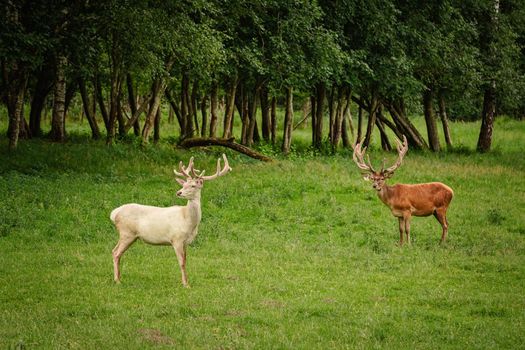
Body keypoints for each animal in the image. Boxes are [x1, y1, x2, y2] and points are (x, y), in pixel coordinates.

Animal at [109, 154, 230, 286]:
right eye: (183, 185)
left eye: (193, 185)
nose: (179, 192)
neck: (187, 221)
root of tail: (114, 213)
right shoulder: (176, 238)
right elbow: (181, 262)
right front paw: (185, 284)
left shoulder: (186, 242)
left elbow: (185, 260)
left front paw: (187, 281)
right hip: (126, 233)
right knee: (116, 252)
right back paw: (117, 280)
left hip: (130, 236)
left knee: (116, 252)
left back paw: (118, 278)